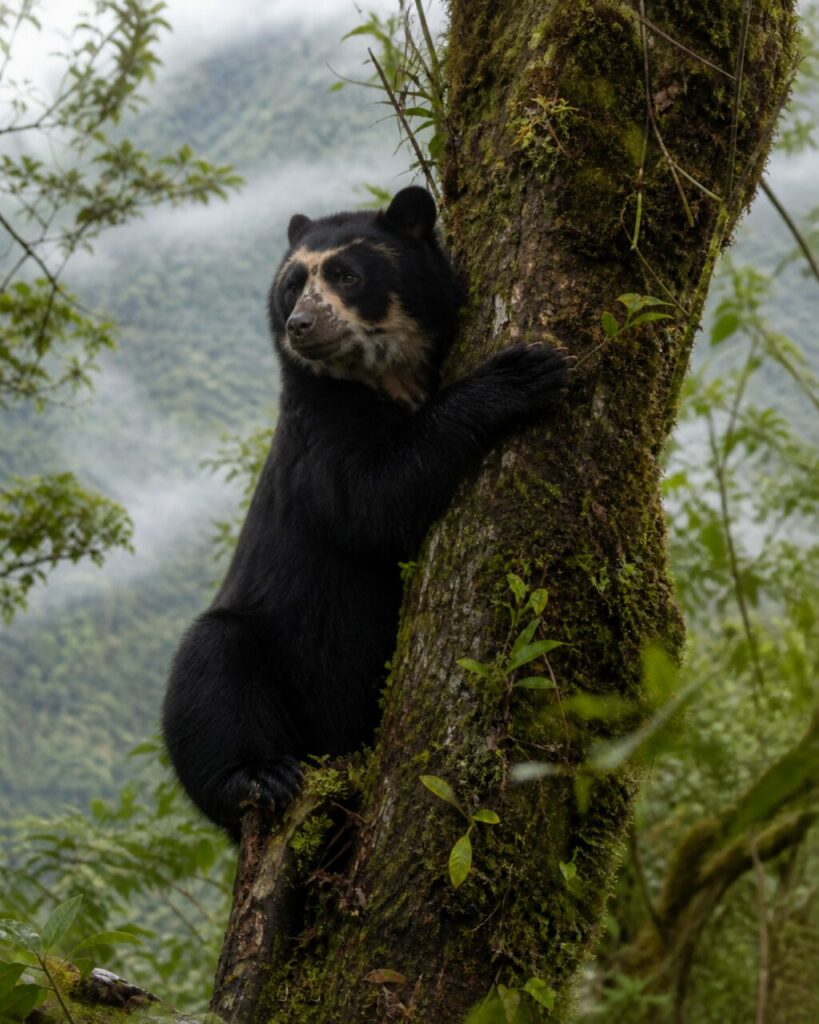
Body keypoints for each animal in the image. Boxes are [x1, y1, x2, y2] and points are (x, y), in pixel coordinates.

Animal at [162, 186, 569, 840]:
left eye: (346, 276)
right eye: (291, 285)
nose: (301, 326)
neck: (380, 376)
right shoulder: (316, 433)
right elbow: (370, 501)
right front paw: (525, 372)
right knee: (210, 671)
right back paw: (260, 775)